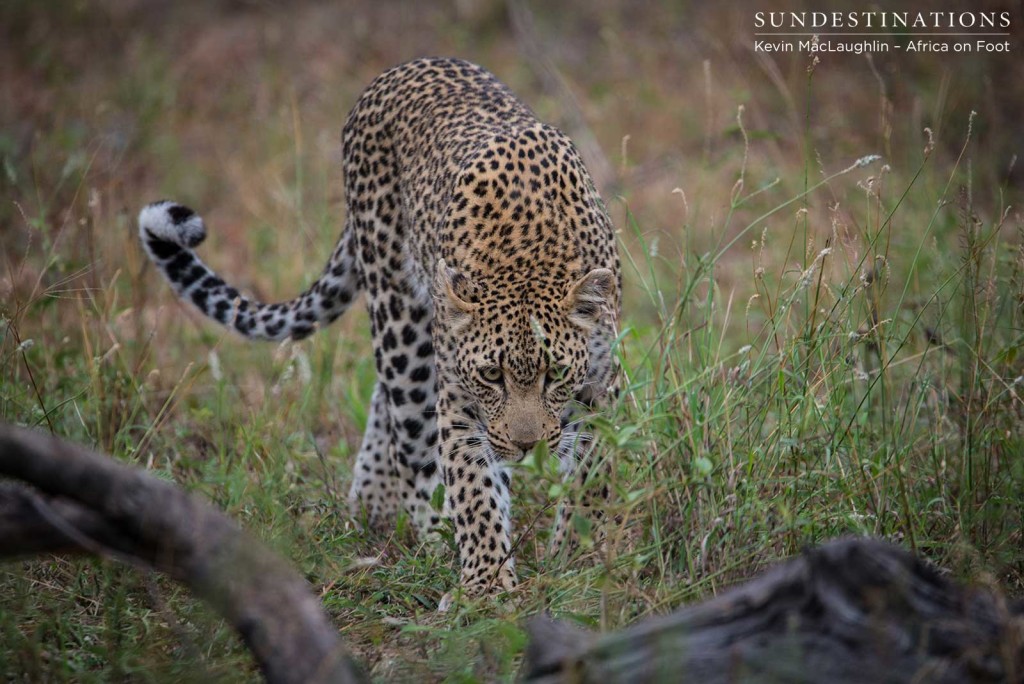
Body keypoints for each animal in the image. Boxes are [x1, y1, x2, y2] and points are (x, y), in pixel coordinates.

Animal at [139, 58, 618, 593]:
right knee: (410, 439)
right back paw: (429, 533)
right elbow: (474, 491)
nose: (526, 446)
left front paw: (579, 556)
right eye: (492, 376)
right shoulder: (458, 395)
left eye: (555, 374)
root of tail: (402, 68)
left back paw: (371, 503)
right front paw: (487, 586)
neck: (529, 257)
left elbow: (593, 473)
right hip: (401, 320)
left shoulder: (601, 380)